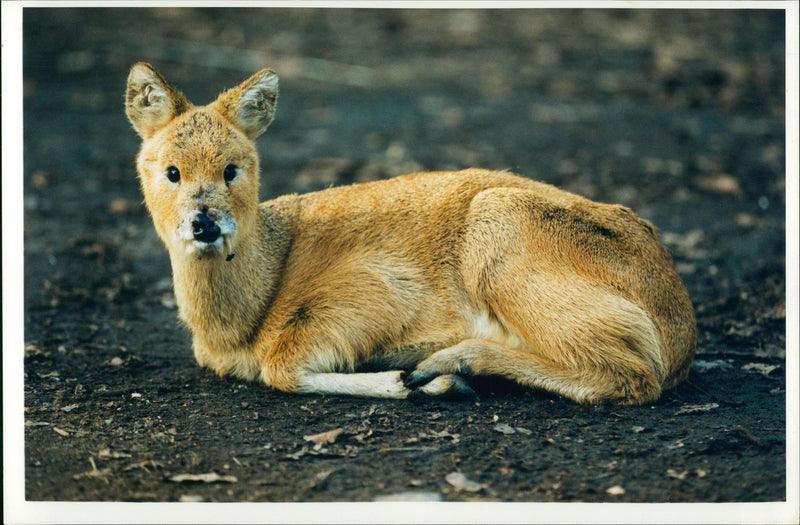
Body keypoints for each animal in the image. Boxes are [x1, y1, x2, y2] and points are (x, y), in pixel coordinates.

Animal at [125, 62, 692, 406]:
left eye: (232, 169)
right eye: (171, 171)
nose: (205, 223)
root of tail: (680, 335)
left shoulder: (376, 290)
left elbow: (280, 366)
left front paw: (409, 380)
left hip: (502, 230)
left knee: (633, 374)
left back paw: (447, 365)